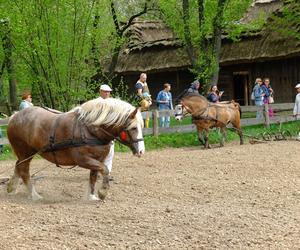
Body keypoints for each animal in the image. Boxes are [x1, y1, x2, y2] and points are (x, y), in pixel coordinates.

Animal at [5, 97, 144, 201]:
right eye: (133, 128)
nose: (141, 151)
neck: (90, 130)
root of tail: (14, 117)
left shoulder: (98, 158)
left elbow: (94, 176)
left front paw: (91, 196)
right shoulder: (83, 160)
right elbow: (104, 170)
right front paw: (103, 192)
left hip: (27, 153)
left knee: (18, 165)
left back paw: (12, 187)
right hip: (24, 151)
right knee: (24, 170)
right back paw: (34, 195)